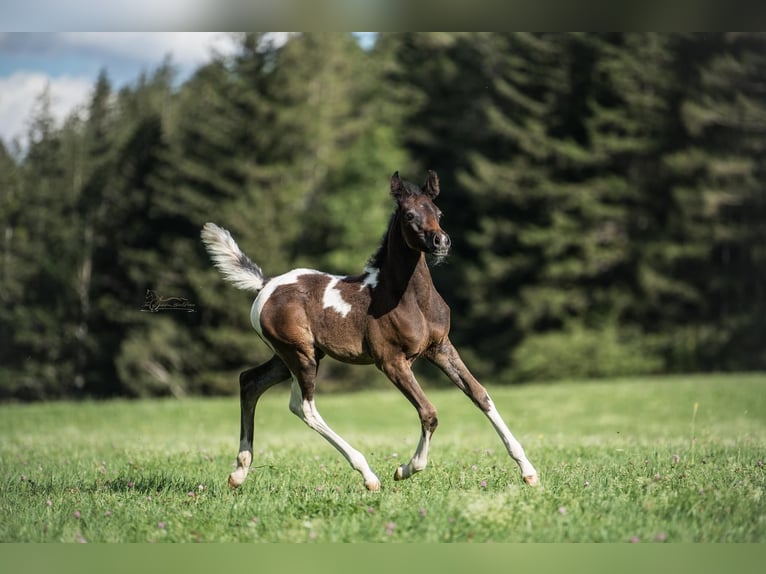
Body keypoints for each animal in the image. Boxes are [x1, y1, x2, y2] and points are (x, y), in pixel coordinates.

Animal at [202, 170, 540, 490]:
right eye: (409, 215)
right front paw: (405, 469)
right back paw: (368, 475)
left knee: (251, 382)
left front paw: (529, 471)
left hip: (292, 357)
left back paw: (239, 472)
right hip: (300, 355)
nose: (441, 242)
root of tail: (266, 284)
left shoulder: (441, 348)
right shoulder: (391, 361)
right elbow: (429, 412)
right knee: (304, 406)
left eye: (438, 211)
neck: (408, 299)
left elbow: (480, 395)